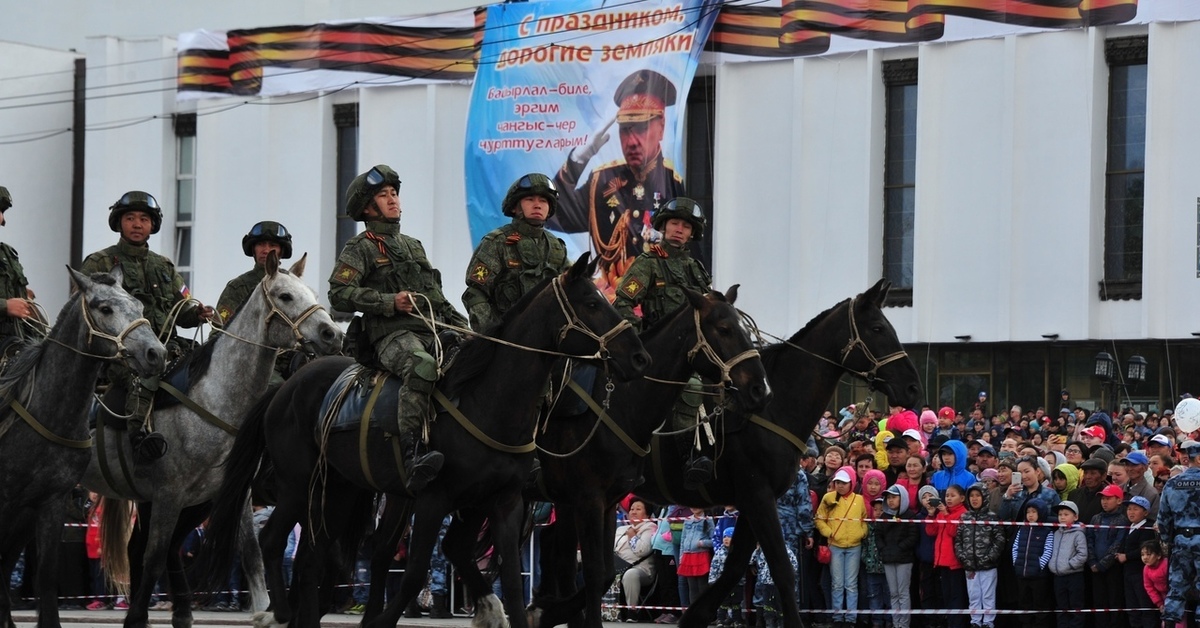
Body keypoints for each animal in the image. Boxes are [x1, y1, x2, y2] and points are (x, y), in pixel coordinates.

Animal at [84, 253, 343, 628]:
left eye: (312, 293)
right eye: (285, 296)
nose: (332, 334)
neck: (213, 400)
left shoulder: (233, 495)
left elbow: (253, 555)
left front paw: (266, 609)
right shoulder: (170, 495)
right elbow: (155, 557)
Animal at [205, 253, 652, 628]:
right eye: (591, 303)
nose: (638, 358)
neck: (488, 400)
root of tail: (285, 387)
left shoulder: (507, 500)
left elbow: (509, 577)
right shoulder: (435, 499)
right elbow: (414, 572)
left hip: (339, 490)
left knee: (314, 559)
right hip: (299, 486)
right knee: (273, 541)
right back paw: (277, 612)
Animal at [530, 285, 772, 628]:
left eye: (745, 330)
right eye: (724, 329)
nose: (758, 389)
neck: (622, 404)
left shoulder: (605, 501)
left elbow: (604, 573)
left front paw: (550, 610)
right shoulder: (586, 498)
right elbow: (591, 572)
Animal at [624, 279, 912, 628]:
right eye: (877, 328)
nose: (912, 387)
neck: (773, 407)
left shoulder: (755, 501)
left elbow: (734, 569)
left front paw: (694, 615)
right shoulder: (757, 495)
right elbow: (782, 571)